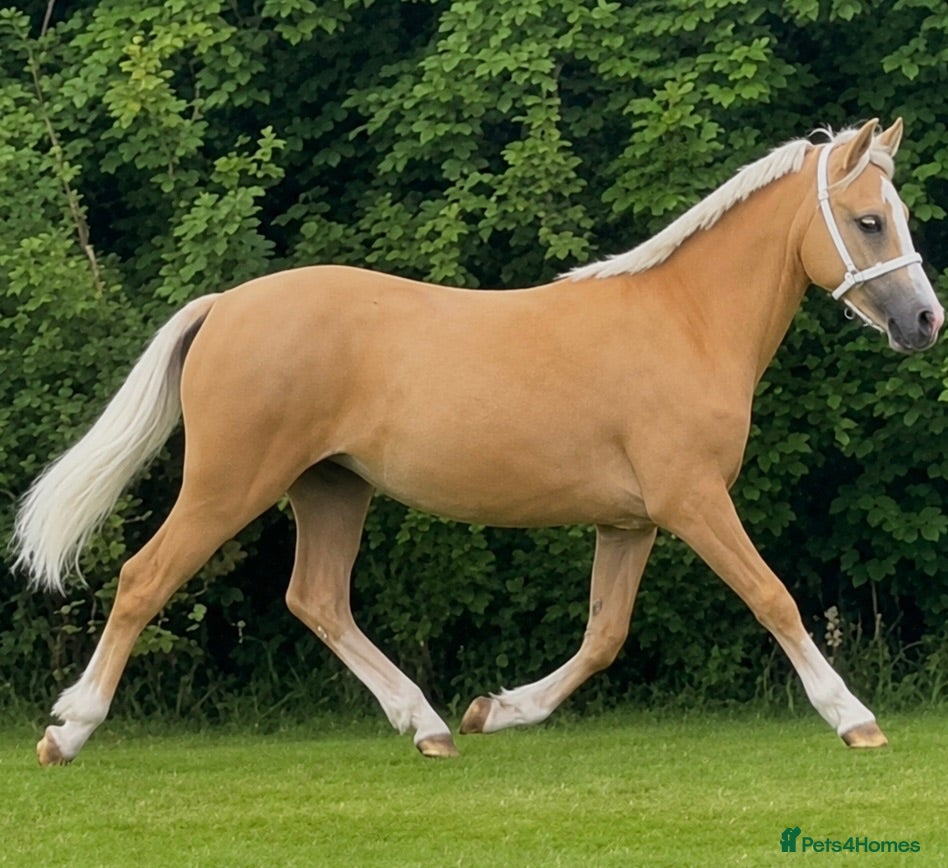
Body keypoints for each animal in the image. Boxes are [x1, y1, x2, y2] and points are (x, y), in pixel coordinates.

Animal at [14, 118, 943, 765]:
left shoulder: (632, 522)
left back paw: (429, 725)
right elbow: (773, 598)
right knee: (144, 579)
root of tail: (227, 305)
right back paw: (68, 732)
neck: (684, 322)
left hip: (331, 487)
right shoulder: (694, 502)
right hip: (229, 485)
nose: (926, 322)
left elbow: (604, 635)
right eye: (868, 221)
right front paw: (856, 720)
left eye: (899, 215)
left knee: (318, 600)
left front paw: (497, 710)